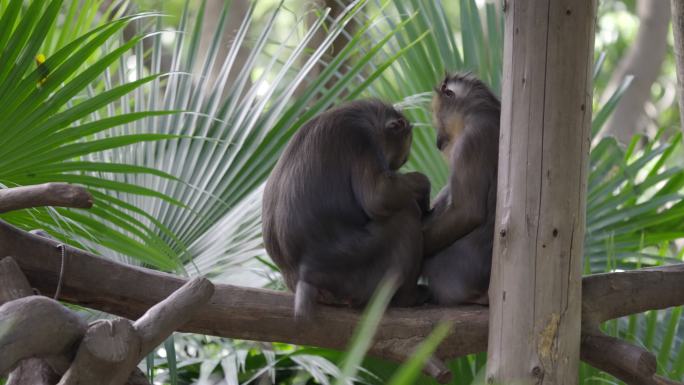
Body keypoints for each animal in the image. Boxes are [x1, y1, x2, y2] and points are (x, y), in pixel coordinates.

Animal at [260, 97, 430, 316]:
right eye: (400, 160)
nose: (393, 168)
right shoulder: (363, 139)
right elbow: (379, 197)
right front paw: (423, 186)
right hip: (355, 279)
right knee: (404, 217)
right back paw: (408, 297)